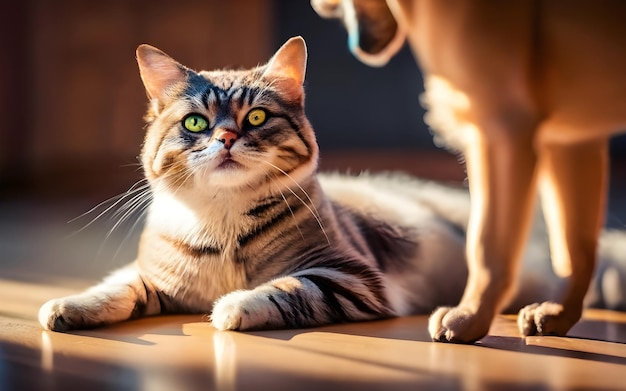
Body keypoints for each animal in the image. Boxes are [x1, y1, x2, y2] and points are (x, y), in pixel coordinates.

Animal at [40, 35, 624, 332]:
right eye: (196, 123)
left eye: (256, 118)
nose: (226, 137)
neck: (222, 225)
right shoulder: (152, 275)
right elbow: (119, 287)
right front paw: (66, 309)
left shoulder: (349, 277)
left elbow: (282, 290)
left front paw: (229, 307)